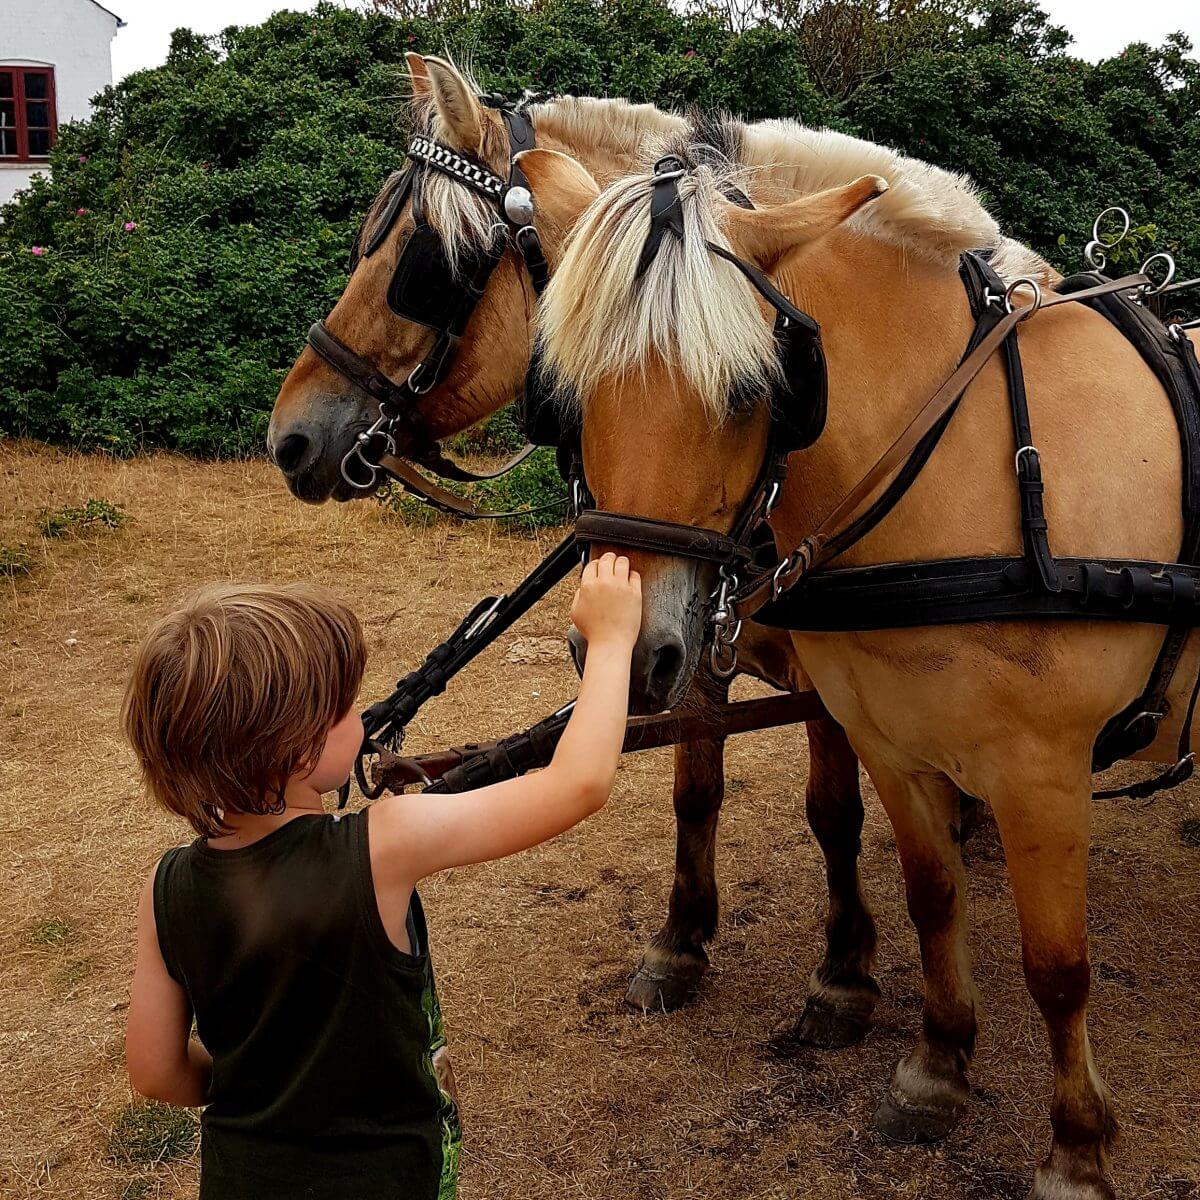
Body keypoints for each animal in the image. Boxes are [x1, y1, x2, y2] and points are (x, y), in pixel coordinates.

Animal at [267, 58, 883, 1032]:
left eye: (422, 267)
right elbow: (694, 784)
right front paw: (680, 943)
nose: (288, 438)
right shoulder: (687, 637)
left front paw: (844, 972)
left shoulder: (830, 671)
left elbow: (833, 809)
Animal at [523, 124, 1200, 1200]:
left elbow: (1057, 964)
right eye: (568, 395)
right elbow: (933, 899)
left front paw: (1077, 1146)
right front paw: (937, 1069)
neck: (970, 462)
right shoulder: (890, 742)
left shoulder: (1041, 770)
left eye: (754, 389)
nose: (629, 656)